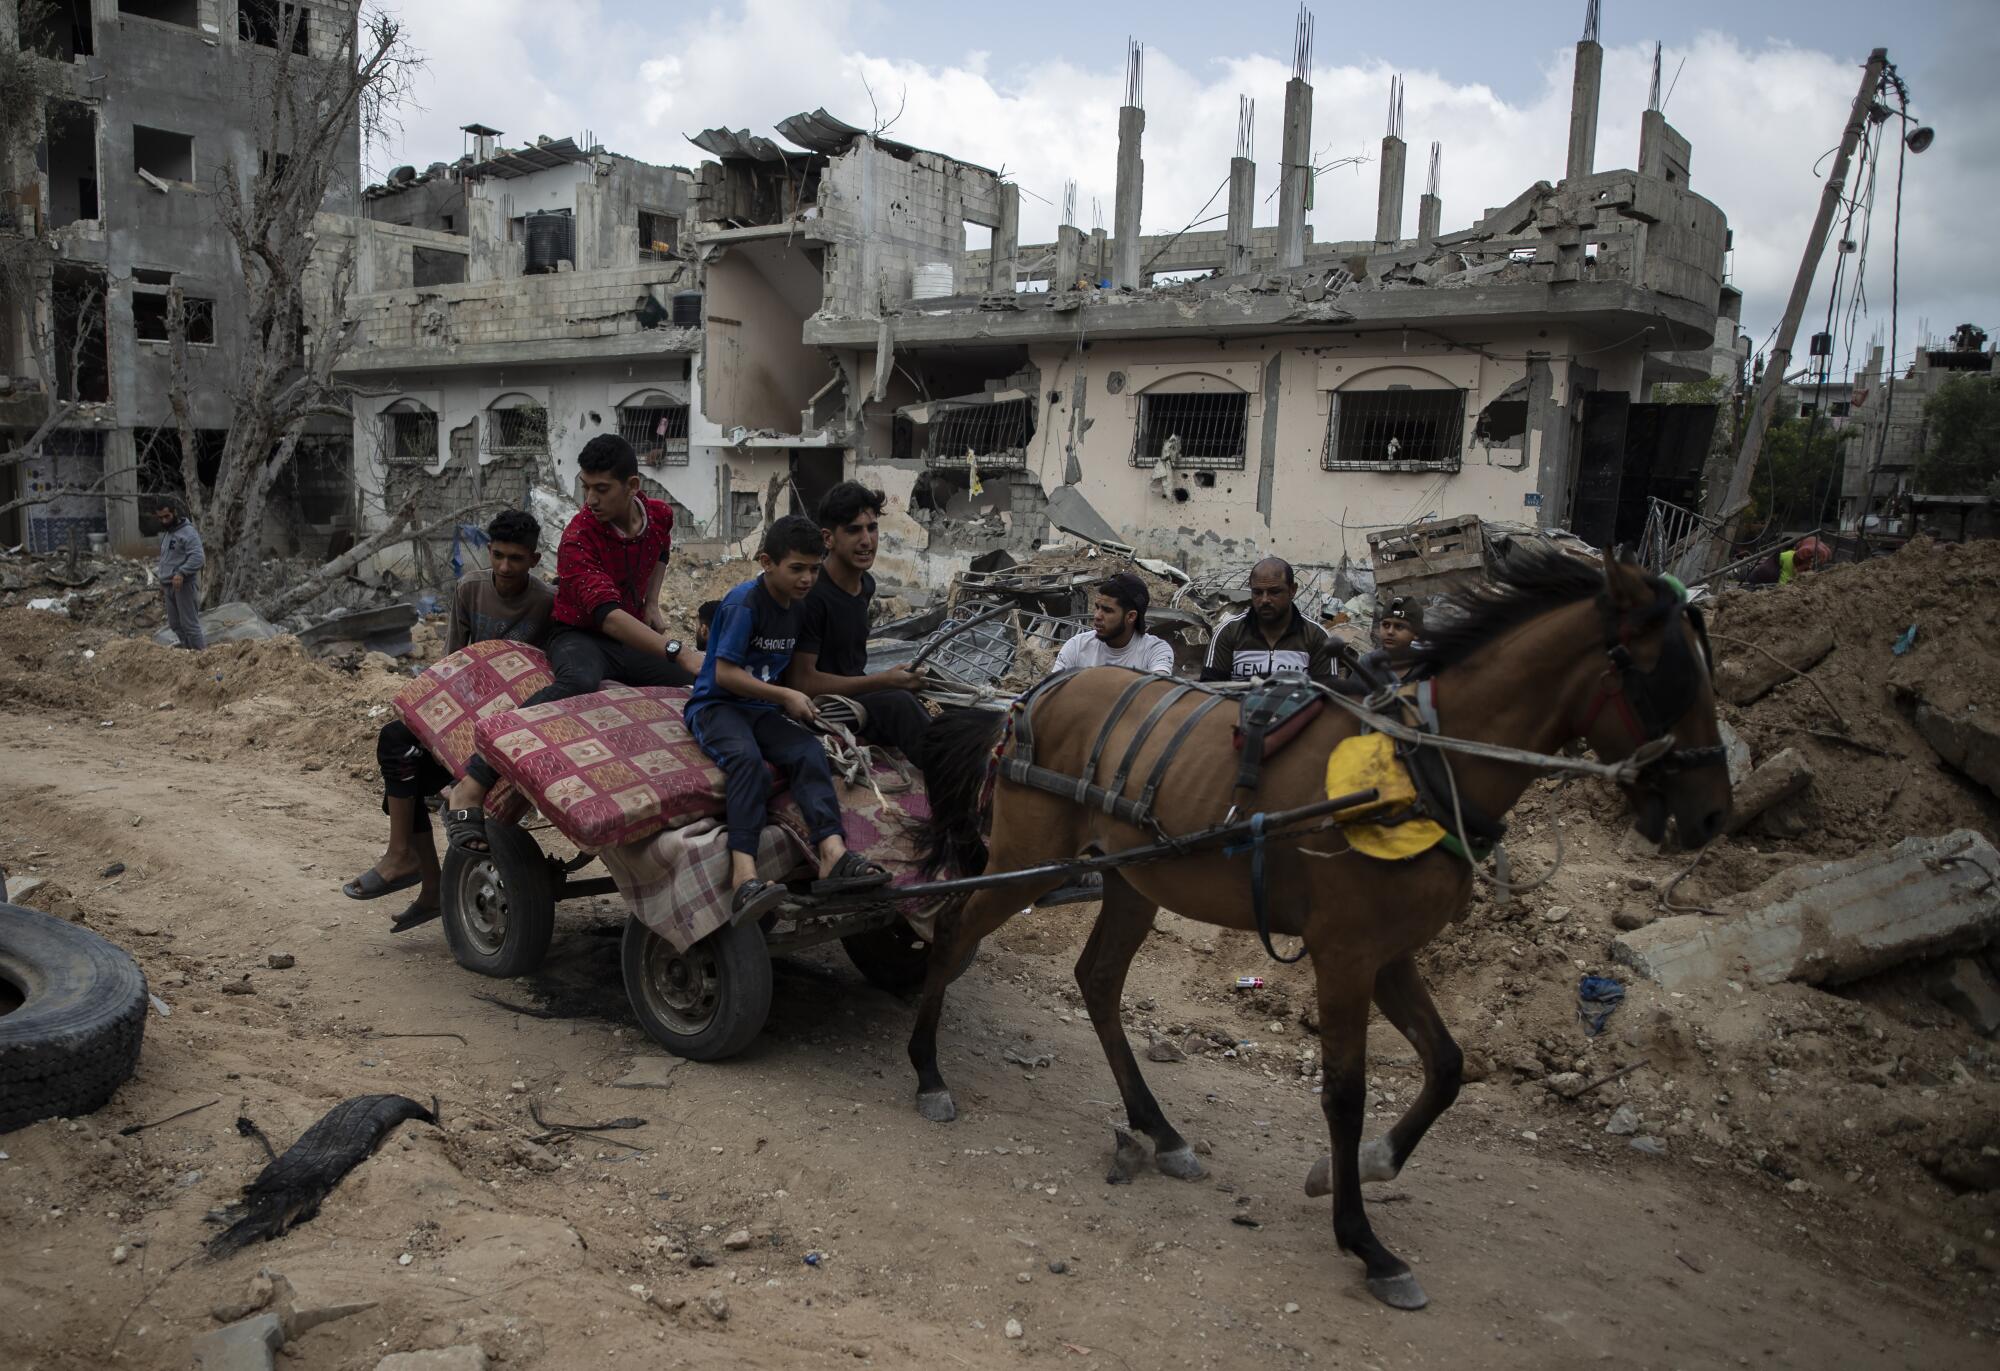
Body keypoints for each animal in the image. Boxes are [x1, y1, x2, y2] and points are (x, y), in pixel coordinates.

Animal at [908, 547, 1736, 1311]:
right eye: (1672, 676)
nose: (1713, 816)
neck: (1418, 765)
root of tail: (1031, 695)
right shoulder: (1345, 954)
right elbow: (1345, 1091)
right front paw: (1367, 1242)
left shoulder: (1389, 951)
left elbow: (1448, 1064)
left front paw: (1370, 1163)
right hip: (1027, 858)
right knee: (953, 929)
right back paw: (928, 1072)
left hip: (1132, 878)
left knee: (1098, 978)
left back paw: (1160, 1129)